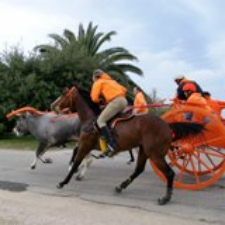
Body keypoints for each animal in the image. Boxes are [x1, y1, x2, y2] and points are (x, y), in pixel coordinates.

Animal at [55, 85, 204, 205]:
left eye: (64, 94)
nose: (53, 106)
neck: (91, 119)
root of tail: (167, 125)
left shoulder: (85, 144)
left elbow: (76, 161)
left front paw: (64, 181)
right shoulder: (85, 145)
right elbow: (79, 158)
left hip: (155, 154)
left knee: (169, 173)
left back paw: (165, 198)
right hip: (144, 151)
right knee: (139, 169)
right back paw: (121, 186)